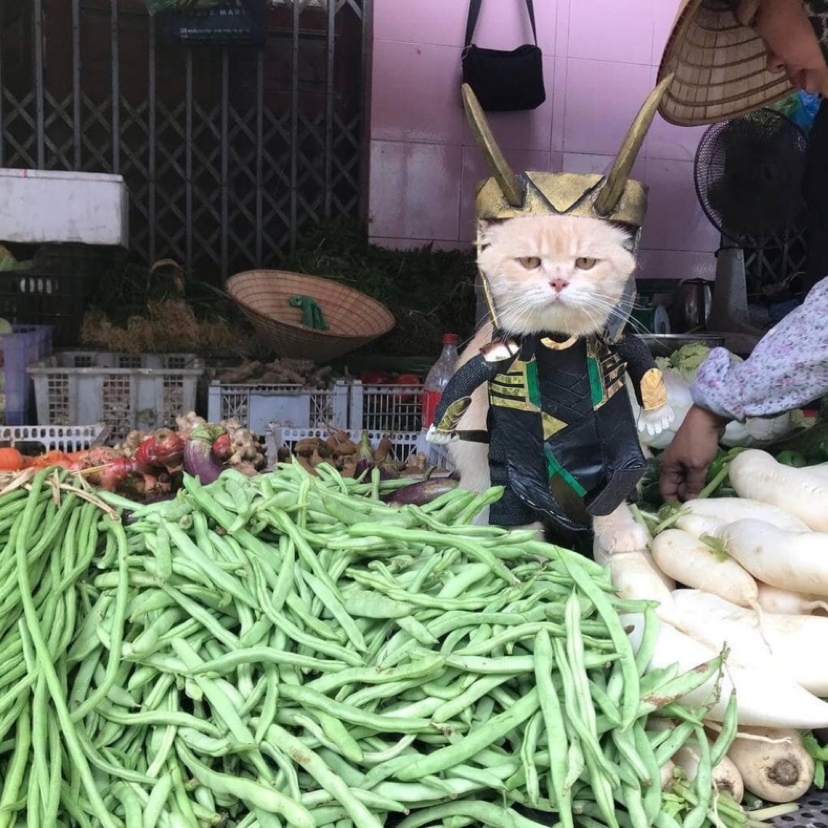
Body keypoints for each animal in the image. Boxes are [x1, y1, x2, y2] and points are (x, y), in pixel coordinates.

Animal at [450, 212, 652, 556]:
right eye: (530, 262)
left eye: (585, 262)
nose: (558, 282)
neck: (557, 343)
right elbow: (516, 501)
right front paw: (526, 545)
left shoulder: (613, 446)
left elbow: (610, 492)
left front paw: (620, 530)